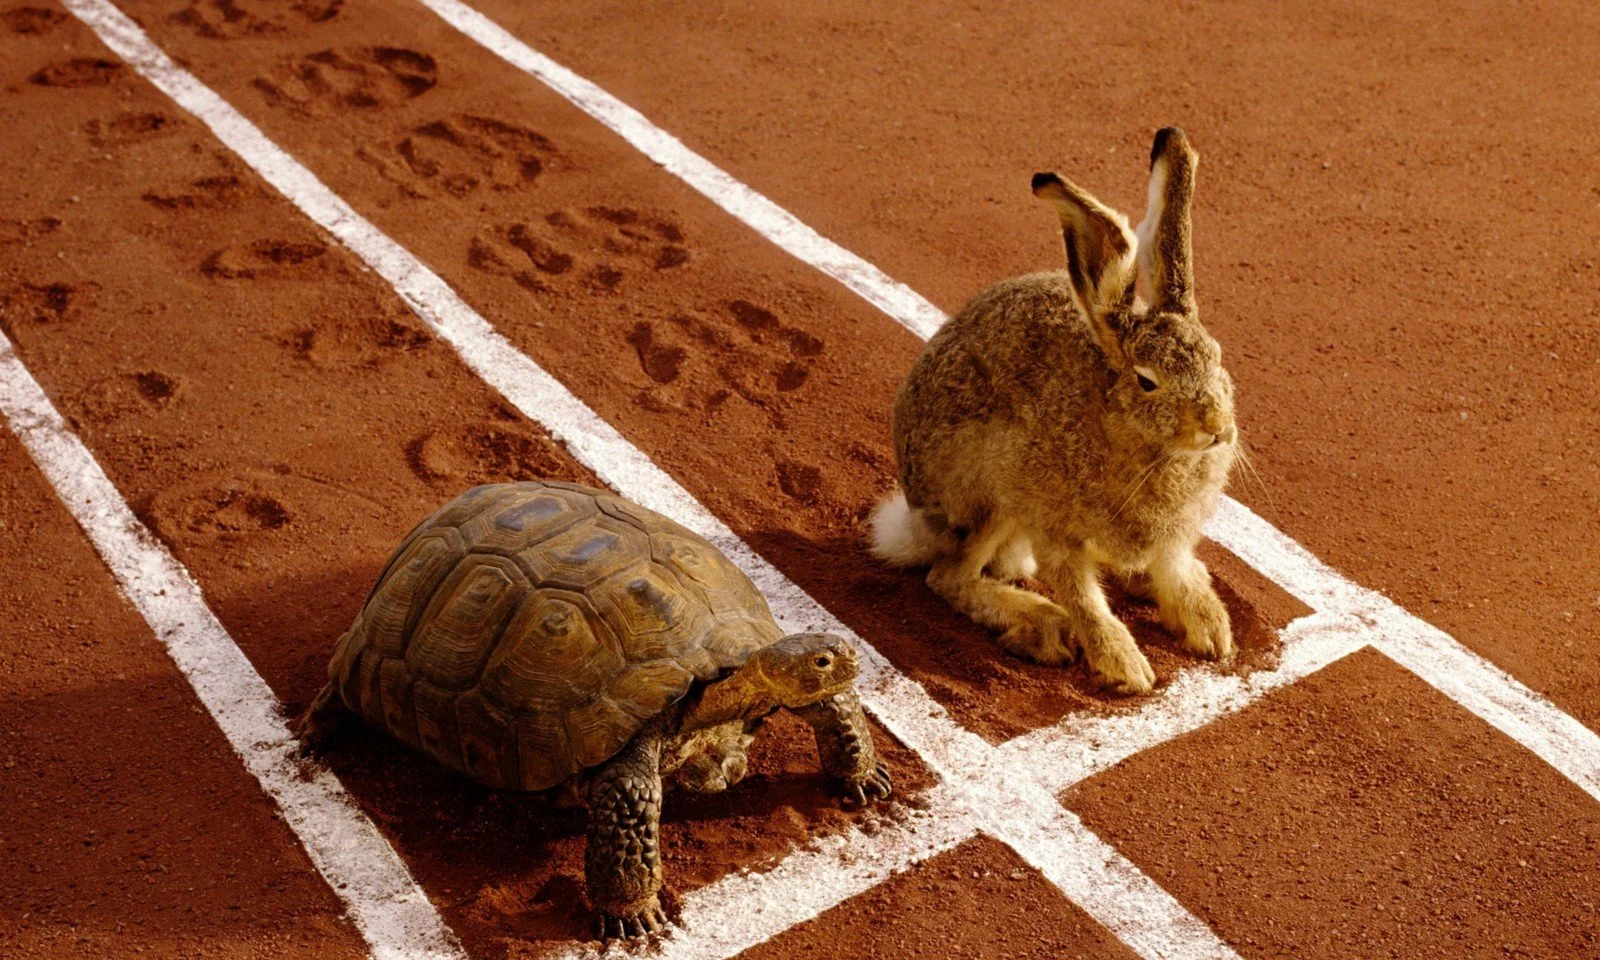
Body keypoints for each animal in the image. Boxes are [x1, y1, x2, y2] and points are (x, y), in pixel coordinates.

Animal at [870, 127, 1236, 694]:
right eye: (1147, 381)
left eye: (1217, 357)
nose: (1217, 428)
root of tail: (914, 519)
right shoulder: (1052, 524)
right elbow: (1083, 598)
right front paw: (1125, 667)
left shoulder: (1173, 538)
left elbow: (1174, 570)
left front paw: (1212, 631)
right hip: (989, 491)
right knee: (950, 576)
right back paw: (1042, 624)